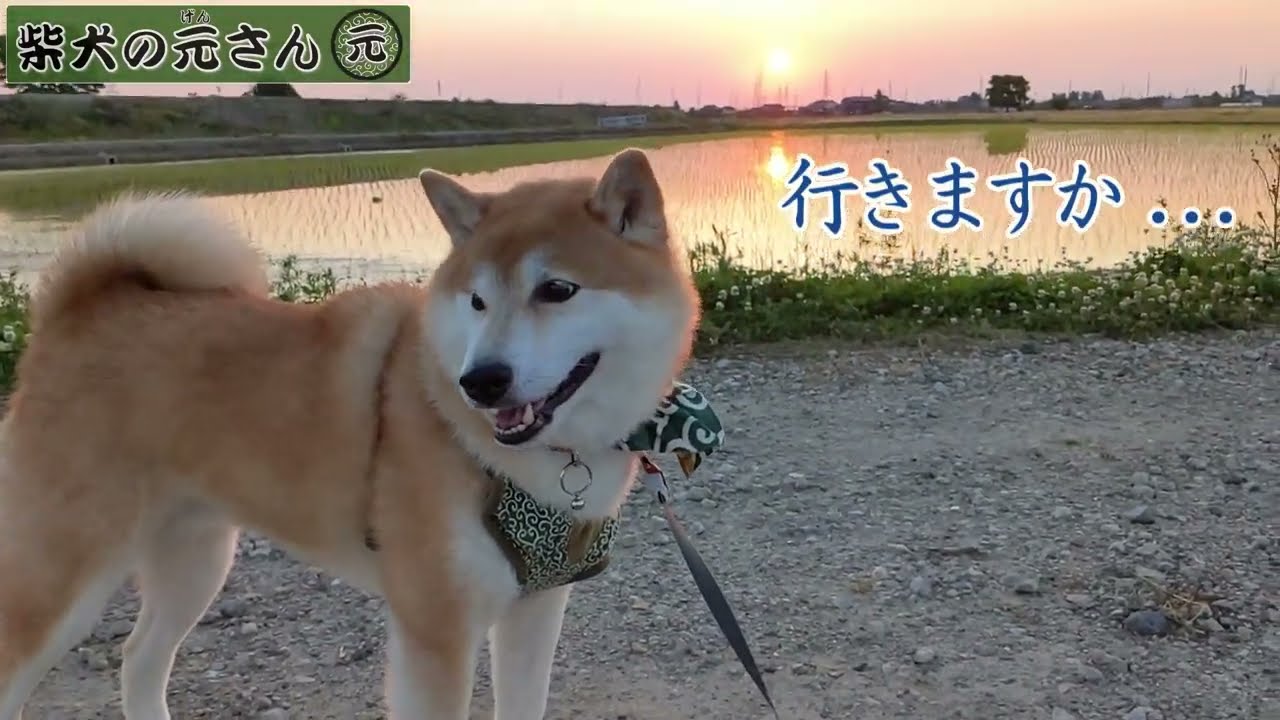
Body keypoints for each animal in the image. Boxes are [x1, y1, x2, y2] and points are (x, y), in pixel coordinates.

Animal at [0, 147, 701, 717]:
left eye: (557, 289)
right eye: (476, 301)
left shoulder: (534, 608)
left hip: (194, 557)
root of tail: (77, 313)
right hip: (67, 568)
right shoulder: (436, 628)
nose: (480, 381)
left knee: (140, 657)